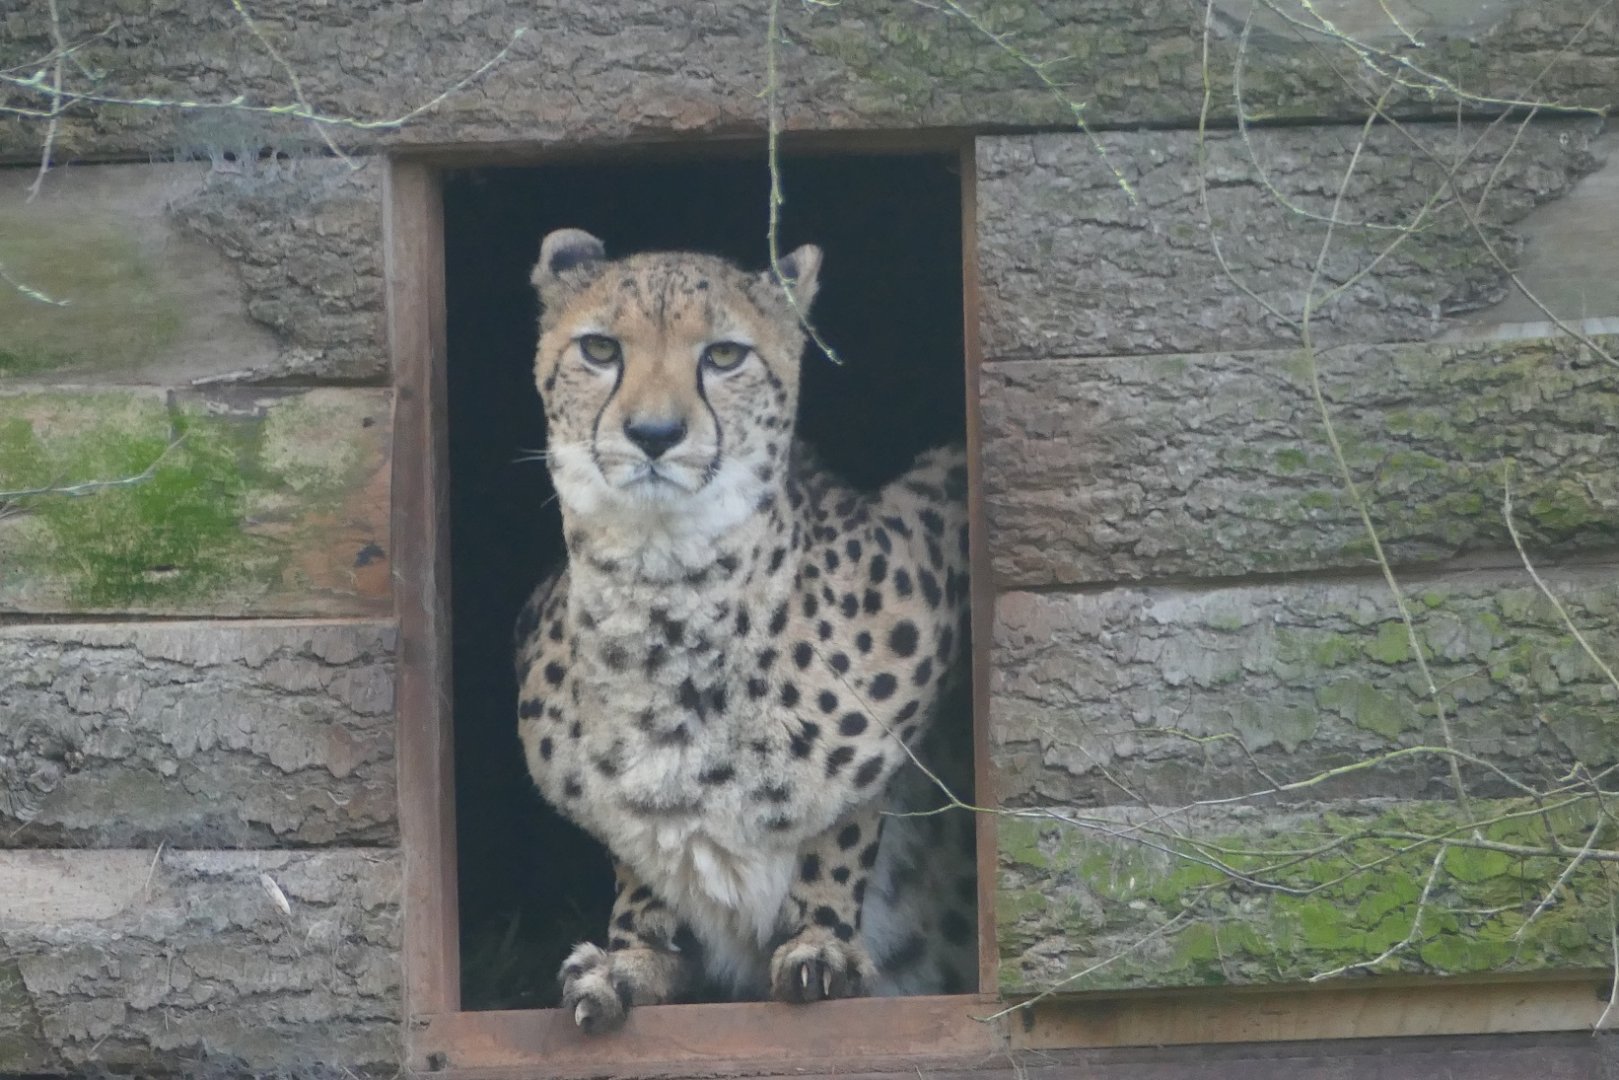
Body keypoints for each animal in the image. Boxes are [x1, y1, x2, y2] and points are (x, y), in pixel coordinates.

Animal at [514, 227, 977, 1033]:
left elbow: (845, 811)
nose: (655, 434)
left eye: (724, 356)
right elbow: (638, 847)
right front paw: (634, 956)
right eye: (600, 349)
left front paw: (821, 940)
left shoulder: (937, 520)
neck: (665, 597)